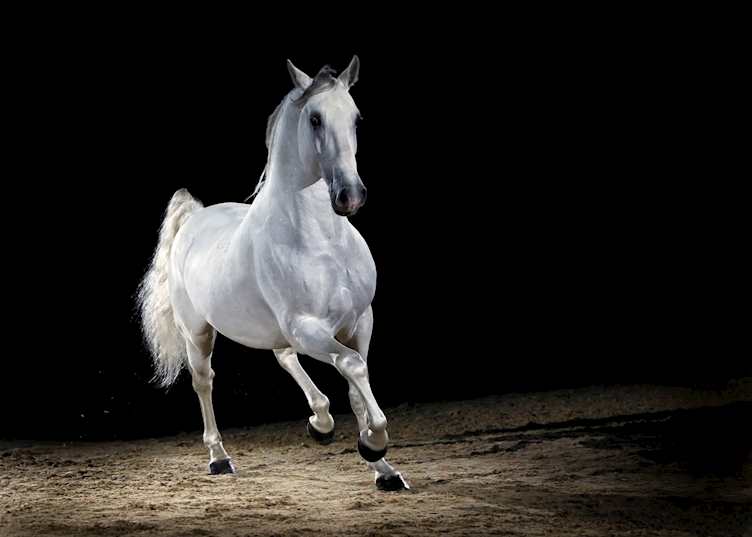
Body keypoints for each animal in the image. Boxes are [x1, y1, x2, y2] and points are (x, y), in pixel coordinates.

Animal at [138, 56, 408, 491]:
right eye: (315, 118)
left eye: (356, 118)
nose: (350, 196)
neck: (323, 244)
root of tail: (194, 218)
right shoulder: (307, 327)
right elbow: (353, 367)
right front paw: (374, 445)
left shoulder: (359, 321)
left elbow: (355, 385)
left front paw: (384, 469)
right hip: (198, 332)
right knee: (204, 380)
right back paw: (219, 458)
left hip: (278, 330)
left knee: (284, 357)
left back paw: (320, 422)